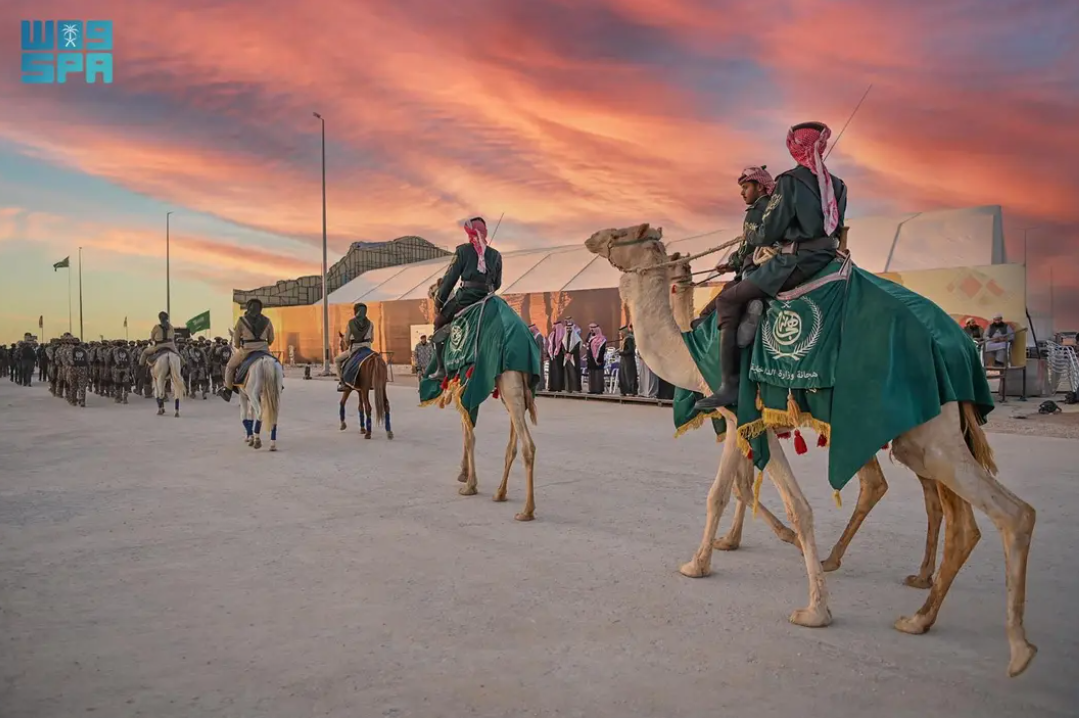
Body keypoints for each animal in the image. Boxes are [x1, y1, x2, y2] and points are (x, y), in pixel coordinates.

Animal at [422, 280, 537, 520]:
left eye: (437, 286)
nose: (430, 291)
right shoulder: (464, 389)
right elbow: (467, 432)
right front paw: (464, 474)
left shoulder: (465, 387)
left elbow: (469, 437)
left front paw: (469, 484)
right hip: (515, 389)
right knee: (512, 445)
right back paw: (501, 492)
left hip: (509, 383)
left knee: (527, 446)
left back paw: (527, 510)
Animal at [586, 224, 1040, 678]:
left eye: (623, 233)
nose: (593, 238)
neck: (693, 351)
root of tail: (960, 347)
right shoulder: (746, 423)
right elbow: (744, 490)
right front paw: (725, 551)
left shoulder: (738, 411)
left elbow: (753, 498)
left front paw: (807, 606)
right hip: (920, 432)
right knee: (952, 514)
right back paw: (918, 612)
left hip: (926, 433)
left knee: (1005, 513)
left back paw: (1017, 650)